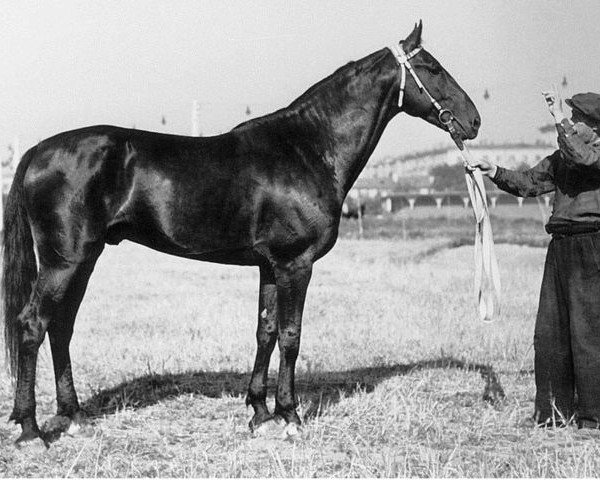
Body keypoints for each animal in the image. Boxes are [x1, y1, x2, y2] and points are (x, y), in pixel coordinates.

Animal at [0, 21, 478, 442]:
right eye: (432, 67)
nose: (473, 121)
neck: (306, 149)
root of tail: (38, 151)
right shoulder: (295, 264)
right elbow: (291, 336)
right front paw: (290, 416)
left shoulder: (269, 266)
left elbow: (266, 332)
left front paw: (260, 413)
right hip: (64, 262)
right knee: (32, 325)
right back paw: (31, 430)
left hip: (84, 259)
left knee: (61, 327)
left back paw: (75, 418)